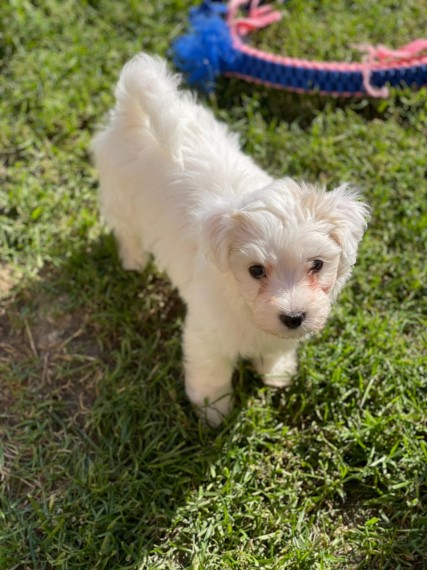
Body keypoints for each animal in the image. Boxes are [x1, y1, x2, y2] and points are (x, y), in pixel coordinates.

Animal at [92, 54, 370, 422]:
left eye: (317, 265)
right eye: (256, 270)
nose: (293, 317)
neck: (244, 303)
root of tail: (133, 109)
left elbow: (275, 349)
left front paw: (277, 373)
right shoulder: (207, 333)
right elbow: (211, 373)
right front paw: (213, 412)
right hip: (121, 198)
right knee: (125, 231)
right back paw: (134, 260)